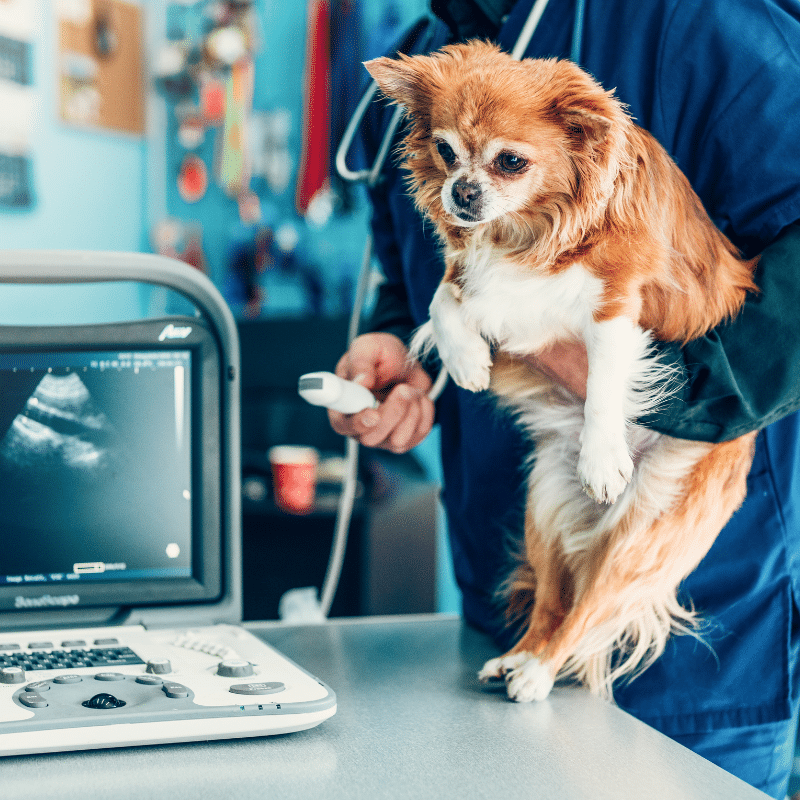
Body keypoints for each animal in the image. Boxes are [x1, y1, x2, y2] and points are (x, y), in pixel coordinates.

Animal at [366, 39, 760, 700]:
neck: (523, 228)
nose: (461, 193)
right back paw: (516, 657)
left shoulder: (615, 304)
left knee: (586, 611)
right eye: (445, 151)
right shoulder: (471, 273)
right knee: (553, 602)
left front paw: (601, 458)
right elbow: (442, 299)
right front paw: (467, 360)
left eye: (511, 162)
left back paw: (537, 673)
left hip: (641, 534)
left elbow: (602, 384)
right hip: (544, 505)